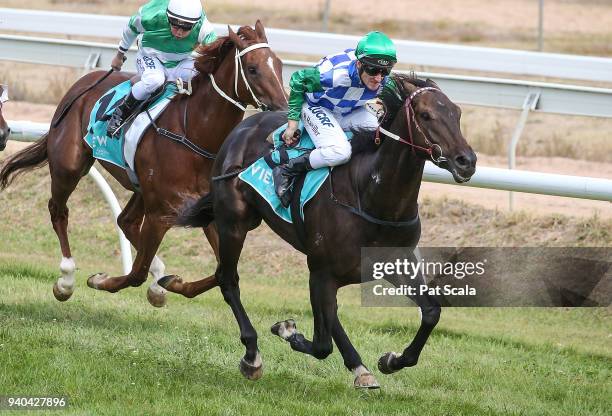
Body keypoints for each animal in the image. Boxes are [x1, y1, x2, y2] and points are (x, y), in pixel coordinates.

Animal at [0, 22, 288, 306]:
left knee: (125, 221)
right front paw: (100, 280)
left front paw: (168, 283)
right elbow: (136, 273)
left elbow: (223, 272)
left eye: (279, 65)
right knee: (59, 211)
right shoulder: (159, 214)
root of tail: (84, 82)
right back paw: (66, 280)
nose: (284, 111)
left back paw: (157, 276)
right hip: (69, 166)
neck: (194, 134)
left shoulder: (208, 212)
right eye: (252, 69)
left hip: (139, 186)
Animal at [171, 74, 478, 386]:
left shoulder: (393, 262)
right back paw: (252, 355)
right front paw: (287, 330)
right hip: (234, 224)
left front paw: (391, 360)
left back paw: (359, 367)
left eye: (457, 113)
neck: (371, 195)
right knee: (228, 279)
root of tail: (244, 126)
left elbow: (431, 312)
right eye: (426, 115)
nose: (467, 161)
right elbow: (321, 345)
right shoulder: (320, 271)